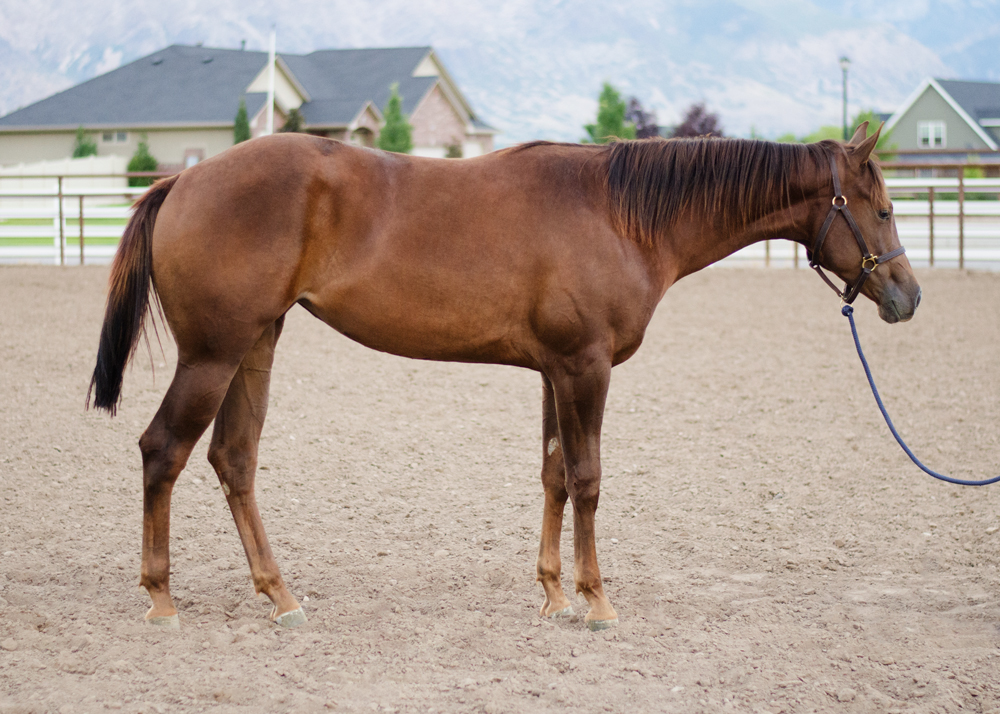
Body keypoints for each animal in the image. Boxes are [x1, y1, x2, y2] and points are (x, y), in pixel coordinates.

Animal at [88, 122, 920, 631]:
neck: (620, 214)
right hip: (212, 355)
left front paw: (552, 593)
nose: (907, 297)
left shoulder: (555, 370)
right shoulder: (585, 369)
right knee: (163, 451)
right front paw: (596, 600)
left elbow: (552, 474)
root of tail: (181, 183)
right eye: (880, 209)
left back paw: (280, 596)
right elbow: (588, 478)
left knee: (234, 459)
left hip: (254, 347)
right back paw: (162, 598)